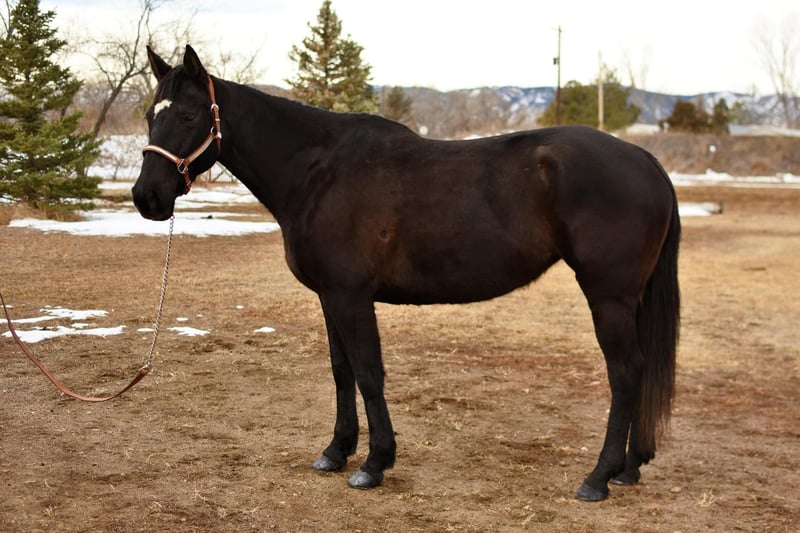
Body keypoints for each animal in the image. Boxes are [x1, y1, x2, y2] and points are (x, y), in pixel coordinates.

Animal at [132, 45, 680, 502]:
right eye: (149, 115)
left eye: (188, 115)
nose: (147, 197)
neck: (318, 172)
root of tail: (647, 160)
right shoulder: (330, 296)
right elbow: (342, 370)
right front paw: (336, 452)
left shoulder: (352, 295)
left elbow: (369, 372)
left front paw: (374, 464)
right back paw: (628, 468)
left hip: (608, 295)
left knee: (625, 371)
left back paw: (598, 478)